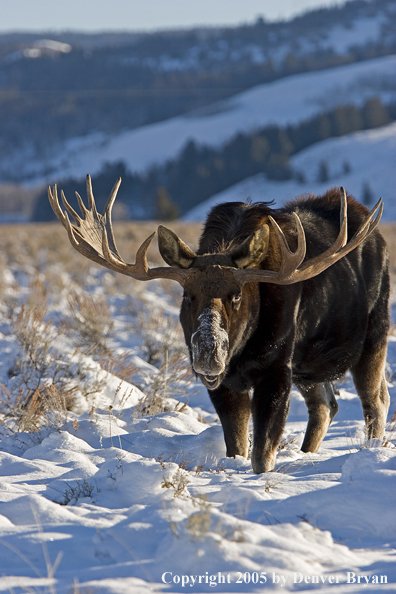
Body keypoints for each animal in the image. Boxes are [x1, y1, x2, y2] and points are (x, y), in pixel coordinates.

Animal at [47, 176, 390, 472]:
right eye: (187, 295)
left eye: (236, 295)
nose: (208, 353)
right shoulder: (224, 383)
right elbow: (236, 447)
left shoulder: (277, 368)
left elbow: (261, 455)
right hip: (308, 367)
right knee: (326, 405)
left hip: (375, 333)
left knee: (376, 402)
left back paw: (371, 452)